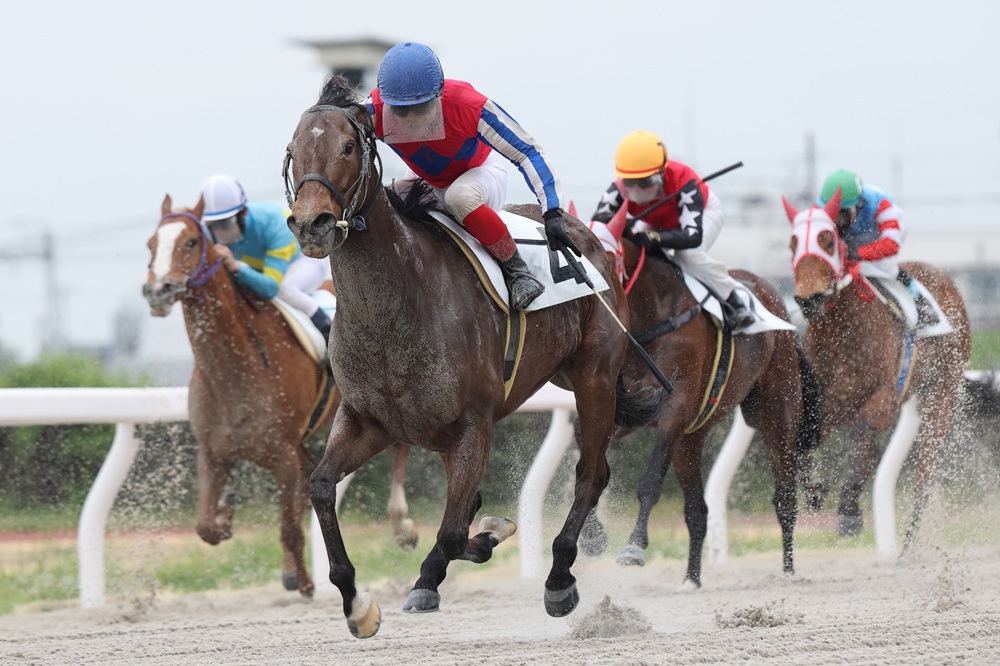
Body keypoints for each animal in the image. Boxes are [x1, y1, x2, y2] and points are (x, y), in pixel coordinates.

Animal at [142, 195, 418, 597]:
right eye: (151, 244)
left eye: (191, 242)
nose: (157, 290)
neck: (233, 373)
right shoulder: (213, 453)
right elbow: (205, 526)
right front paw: (226, 513)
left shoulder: (282, 455)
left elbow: (289, 528)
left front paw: (303, 581)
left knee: (400, 446)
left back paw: (402, 526)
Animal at [282, 75, 664, 638]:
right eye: (293, 151)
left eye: (348, 146)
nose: (314, 224)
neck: (397, 307)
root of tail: (590, 239)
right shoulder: (367, 421)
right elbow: (323, 488)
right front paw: (357, 603)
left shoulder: (472, 423)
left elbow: (452, 528)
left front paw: (437, 573)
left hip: (594, 377)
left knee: (591, 475)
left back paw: (559, 579)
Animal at [585, 236, 821, 588]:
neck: (651, 315)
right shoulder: (626, 410)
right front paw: (592, 535)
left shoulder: (674, 410)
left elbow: (651, 480)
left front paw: (634, 546)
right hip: (691, 439)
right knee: (698, 510)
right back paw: (691, 578)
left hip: (775, 414)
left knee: (785, 498)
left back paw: (789, 571)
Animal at [783, 192, 971, 557]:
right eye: (793, 243)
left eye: (828, 241)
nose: (809, 298)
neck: (843, 331)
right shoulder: (829, 401)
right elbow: (804, 440)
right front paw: (815, 491)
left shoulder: (883, 398)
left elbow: (867, 447)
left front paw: (849, 512)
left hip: (941, 394)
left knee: (923, 476)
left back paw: (907, 545)